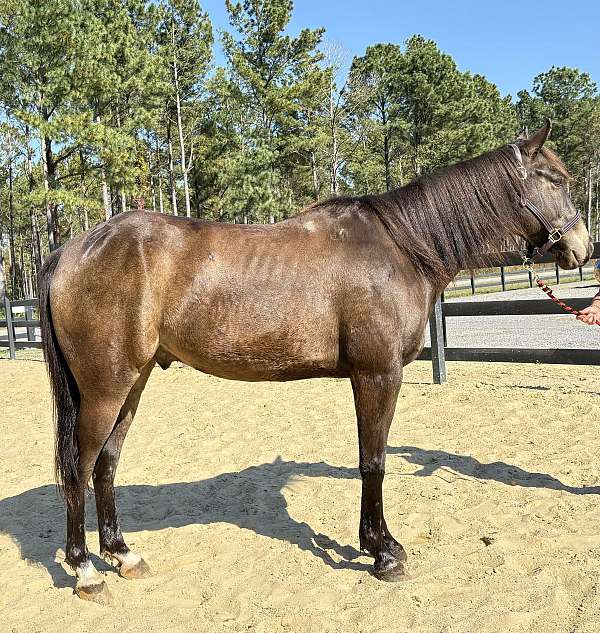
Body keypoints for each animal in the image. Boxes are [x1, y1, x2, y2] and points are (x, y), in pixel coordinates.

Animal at [39, 119, 592, 604]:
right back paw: (86, 570)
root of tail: (73, 249)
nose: (582, 247)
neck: (401, 248)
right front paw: (383, 553)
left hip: (131, 384)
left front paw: (376, 544)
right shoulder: (378, 375)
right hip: (105, 389)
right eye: (553, 179)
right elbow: (374, 461)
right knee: (79, 467)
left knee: (106, 465)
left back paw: (123, 555)